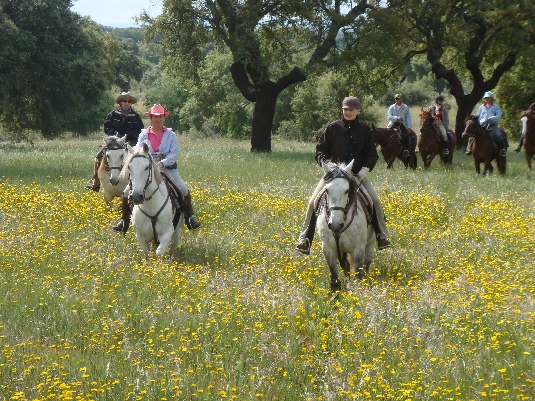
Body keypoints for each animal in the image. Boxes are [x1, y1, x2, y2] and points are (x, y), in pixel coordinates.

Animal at [318, 160, 376, 290]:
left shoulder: (358, 250)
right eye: (327, 190)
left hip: (370, 245)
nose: (335, 224)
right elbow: (335, 278)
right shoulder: (328, 249)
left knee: (367, 264)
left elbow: (358, 275)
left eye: (346, 190)